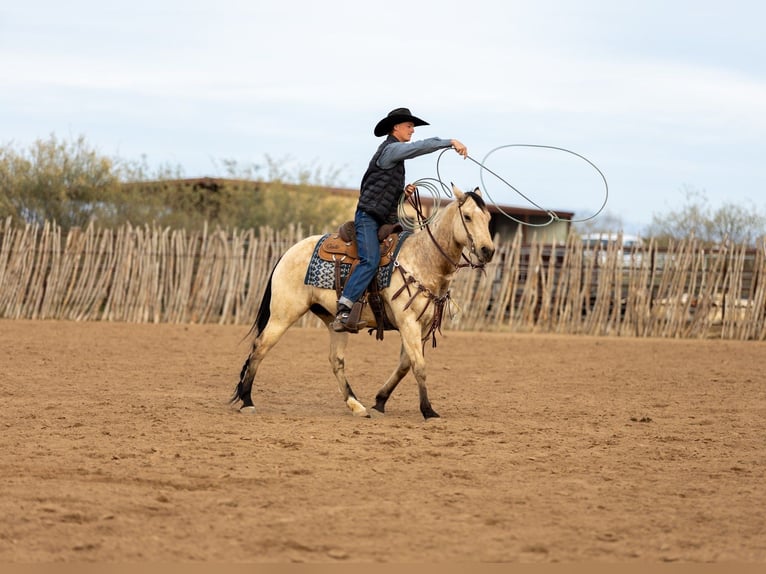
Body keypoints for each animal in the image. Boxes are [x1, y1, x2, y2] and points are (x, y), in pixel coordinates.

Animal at [230, 183, 495, 419]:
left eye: (489, 217)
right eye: (468, 217)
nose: (488, 250)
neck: (422, 260)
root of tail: (288, 252)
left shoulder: (423, 326)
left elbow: (405, 364)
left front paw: (380, 401)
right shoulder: (408, 323)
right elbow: (418, 366)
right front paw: (428, 411)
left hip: (332, 320)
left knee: (336, 361)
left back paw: (356, 405)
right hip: (283, 315)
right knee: (260, 347)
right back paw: (247, 401)